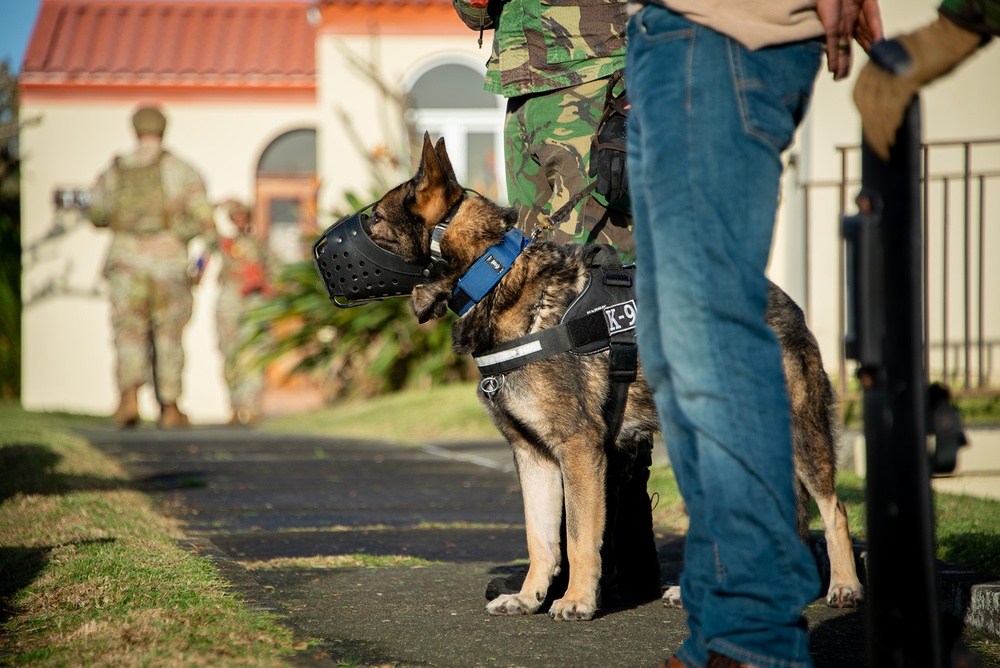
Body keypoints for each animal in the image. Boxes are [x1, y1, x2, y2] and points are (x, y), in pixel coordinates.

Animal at [364, 134, 864, 620]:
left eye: (375, 219)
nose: (343, 233)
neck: (494, 275)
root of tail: (785, 301)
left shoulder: (580, 450)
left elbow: (579, 537)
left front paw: (576, 600)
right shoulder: (533, 456)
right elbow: (540, 539)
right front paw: (529, 597)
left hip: (799, 437)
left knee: (834, 510)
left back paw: (843, 586)